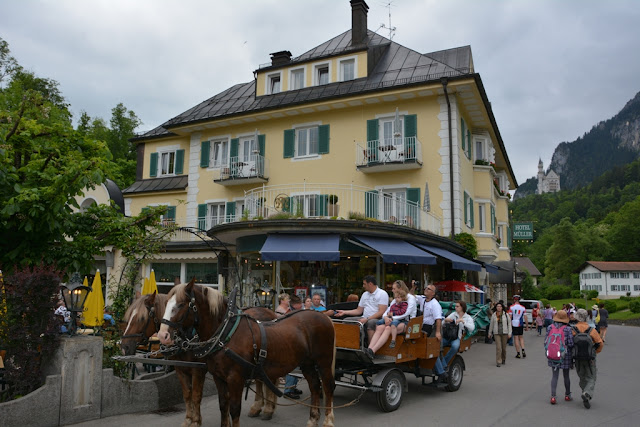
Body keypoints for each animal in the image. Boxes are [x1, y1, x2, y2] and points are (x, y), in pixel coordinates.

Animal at [121, 292, 278, 426]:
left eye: (141, 318)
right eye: (128, 318)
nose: (123, 346)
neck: (186, 336)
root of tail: (270, 311)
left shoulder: (198, 370)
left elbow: (196, 396)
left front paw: (196, 421)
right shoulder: (180, 369)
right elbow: (187, 395)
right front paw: (188, 419)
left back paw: (268, 409)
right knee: (260, 380)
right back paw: (257, 407)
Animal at [158, 280, 338, 427]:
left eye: (181, 304)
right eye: (166, 303)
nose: (163, 335)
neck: (226, 333)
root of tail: (323, 316)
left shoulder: (235, 378)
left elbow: (234, 409)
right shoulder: (218, 377)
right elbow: (223, 406)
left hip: (323, 362)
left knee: (328, 386)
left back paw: (328, 420)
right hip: (307, 363)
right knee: (314, 386)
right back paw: (312, 419)